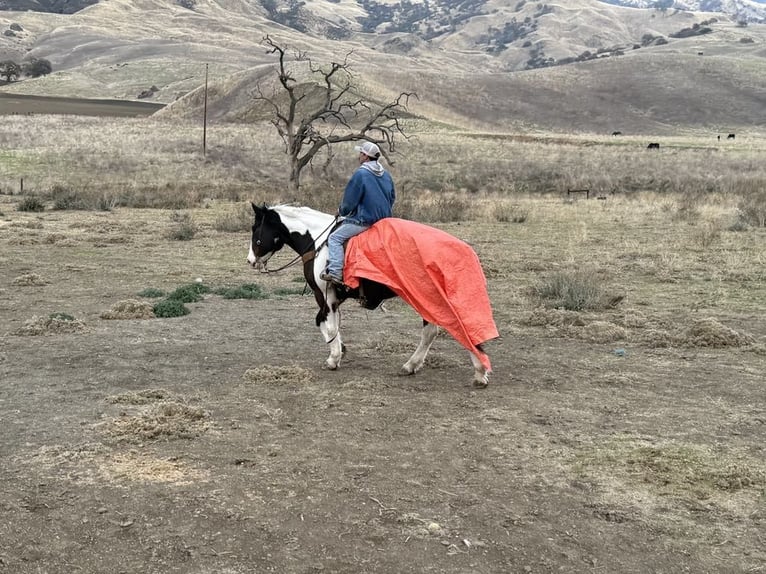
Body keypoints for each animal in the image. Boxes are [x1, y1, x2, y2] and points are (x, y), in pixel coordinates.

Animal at [248, 205, 498, 390]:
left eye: (255, 228)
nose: (250, 260)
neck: (319, 242)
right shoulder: (336, 298)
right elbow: (329, 323)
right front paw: (341, 348)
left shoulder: (323, 295)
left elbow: (326, 324)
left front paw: (334, 358)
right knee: (437, 331)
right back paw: (415, 365)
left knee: (450, 330)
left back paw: (477, 373)